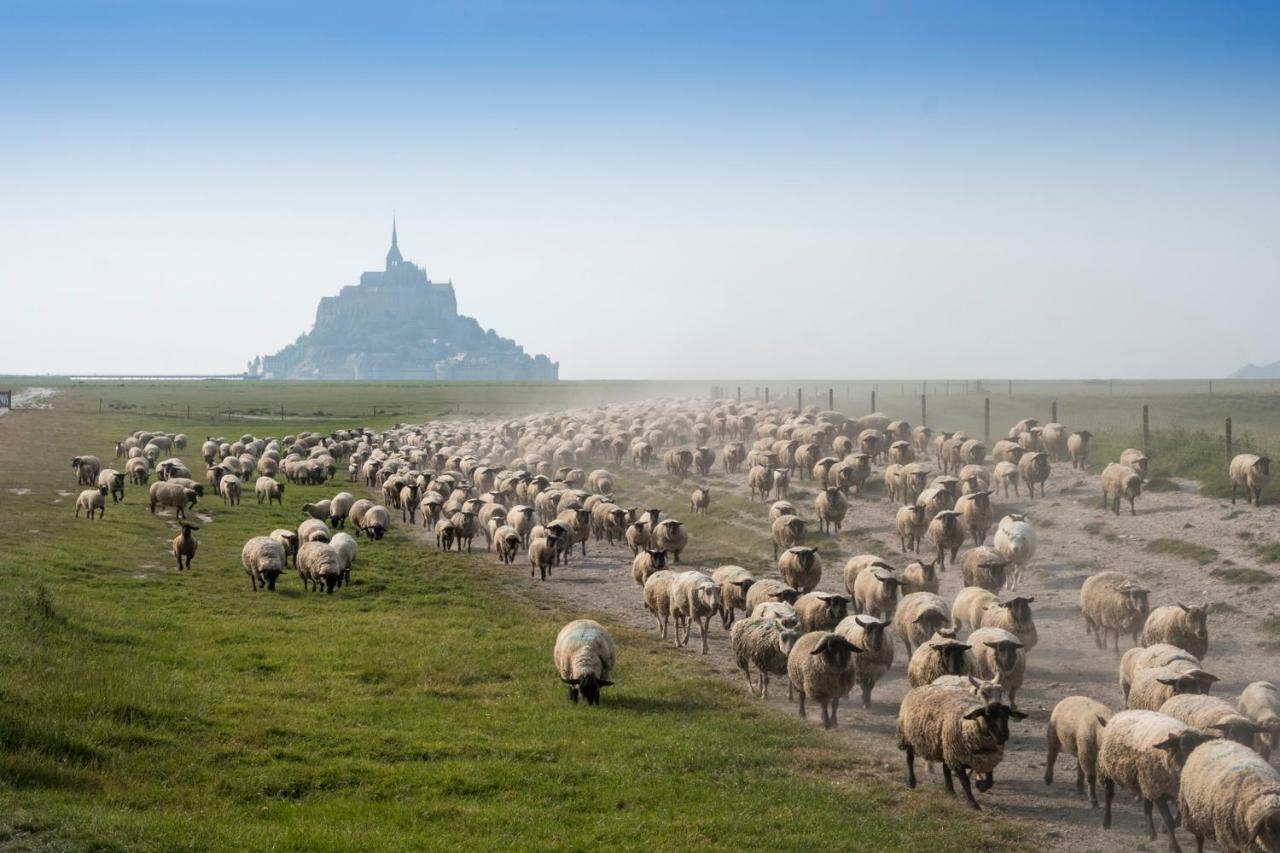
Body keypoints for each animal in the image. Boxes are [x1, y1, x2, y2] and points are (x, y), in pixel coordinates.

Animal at [896, 681, 1024, 809]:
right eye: (987, 715)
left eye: (1007, 716)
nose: (1003, 735)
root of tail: (922, 686)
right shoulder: (958, 759)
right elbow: (965, 782)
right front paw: (973, 804)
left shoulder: (988, 759)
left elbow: (990, 781)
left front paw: (980, 785)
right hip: (909, 737)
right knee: (910, 759)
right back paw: (911, 782)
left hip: (945, 745)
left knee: (945, 768)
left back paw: (950, 792)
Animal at [1095, 706, 1213, 840]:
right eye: (1183, 749)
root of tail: (1112, 719)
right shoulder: (1158, 791)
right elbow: (1168, 819)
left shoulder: (1174, 792)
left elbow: (1177, 819)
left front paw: (1164, 828)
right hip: (1107, 769)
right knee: (1109, 795)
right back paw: (1106, 822)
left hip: (1145, 779)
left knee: (1147, 807)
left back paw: (1150, 832)